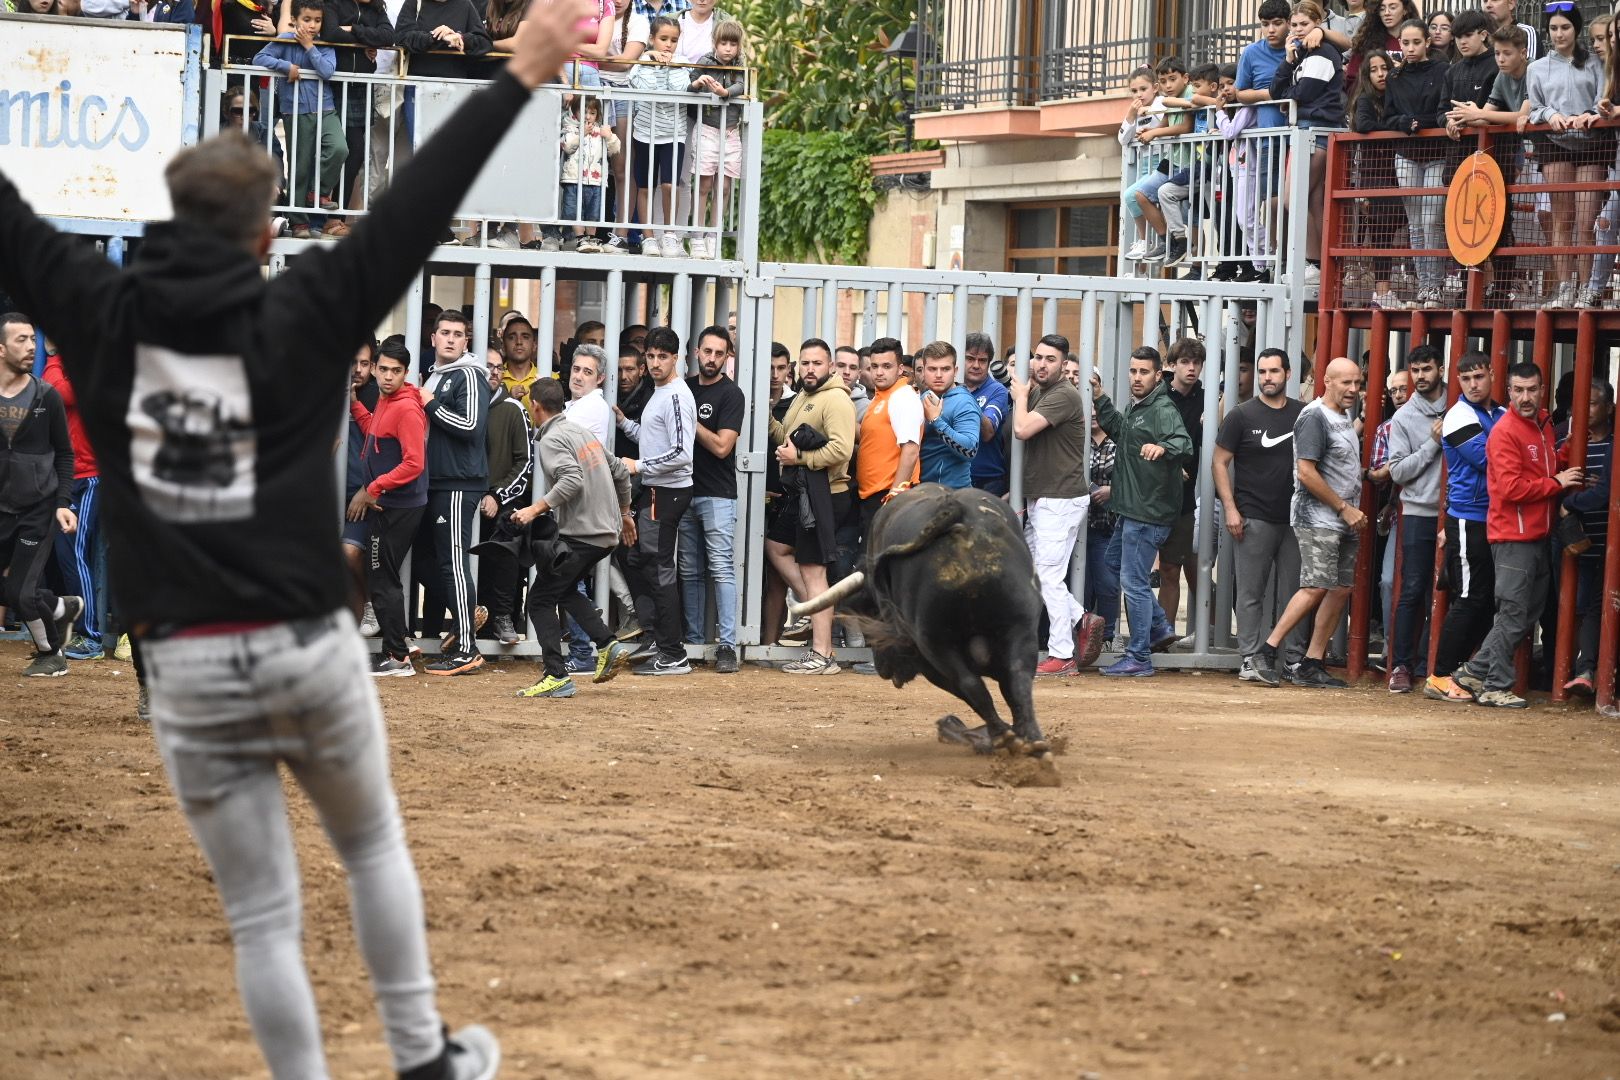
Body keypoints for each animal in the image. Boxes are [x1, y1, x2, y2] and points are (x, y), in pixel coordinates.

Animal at [787, 485, 1049, 757]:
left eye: (872, 611)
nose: (882, 668)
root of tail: (958, 515)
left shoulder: (926, 660)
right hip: (1019, 629)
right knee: (1017, 679)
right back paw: (1030, 739)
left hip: (935, 645)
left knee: (973, 685)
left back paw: (1001, 736)